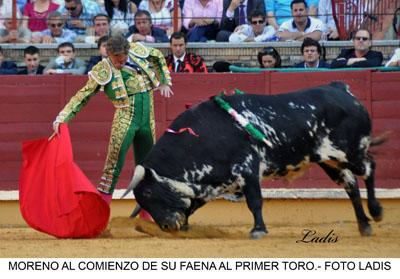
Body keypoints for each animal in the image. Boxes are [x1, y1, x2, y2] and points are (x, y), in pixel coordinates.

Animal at [122, 82, 384, 240]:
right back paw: (364, 225)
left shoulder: (247, 168)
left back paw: (376, 211)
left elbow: (255, 202)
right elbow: (192, 205)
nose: (167, 226)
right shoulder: (210, 181)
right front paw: (186, 226)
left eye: (148, 194)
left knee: (370, 167)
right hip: (330, 161)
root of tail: (341, 88)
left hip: (351, 152)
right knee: (351, 185)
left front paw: (258, 230)